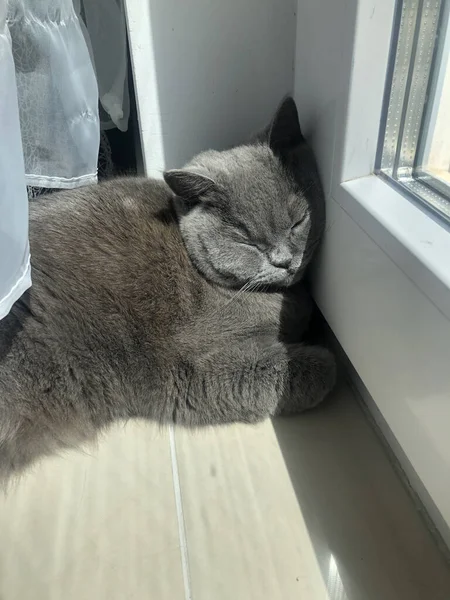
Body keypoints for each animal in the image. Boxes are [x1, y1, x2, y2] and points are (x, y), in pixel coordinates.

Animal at [0, 96, 334, 478]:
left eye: (298, 221)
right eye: (248, 241)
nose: (284, 261)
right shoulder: (190, 366)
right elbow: (282, 368)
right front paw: (327, 359)